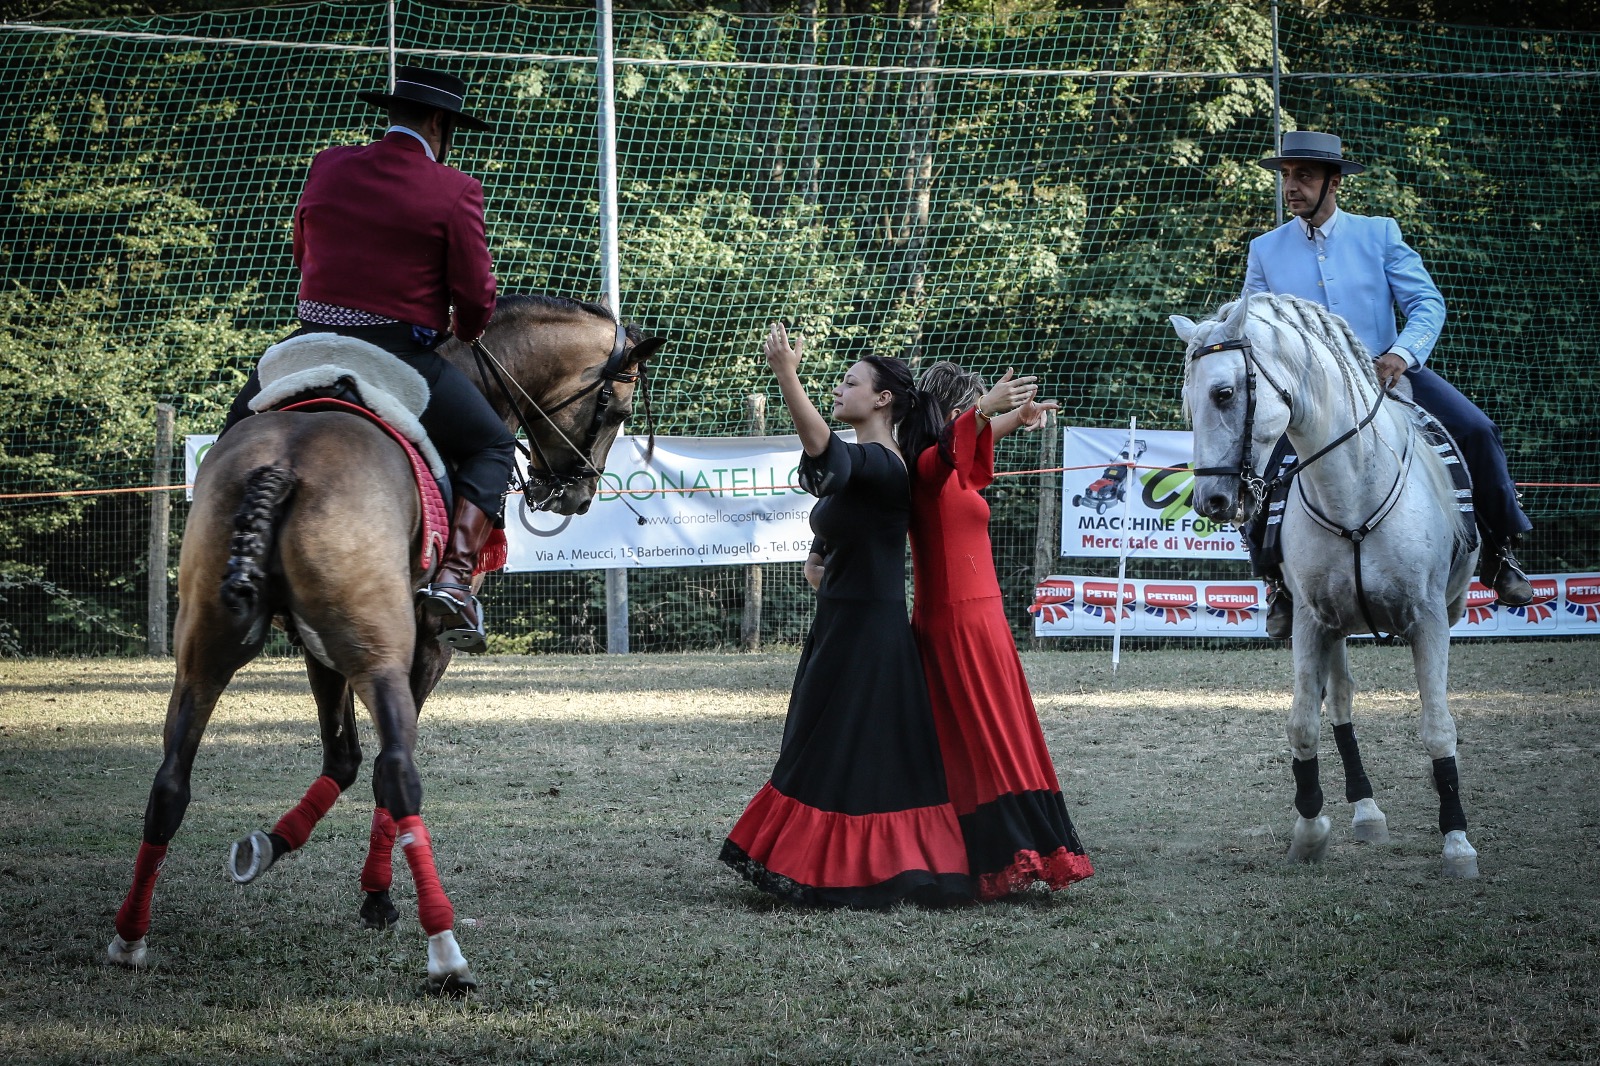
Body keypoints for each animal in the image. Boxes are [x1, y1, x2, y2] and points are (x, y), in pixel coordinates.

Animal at [107, 294, 666, 992]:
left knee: (169, 784)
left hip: (205, 655)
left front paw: (267, 846)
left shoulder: (318, 647)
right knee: (398, 772)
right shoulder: (425, 649)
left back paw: (130, 937)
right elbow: (372, 770)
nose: (579, 493)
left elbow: (342, 760)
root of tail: (285, 461)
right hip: (377, 657)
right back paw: (445, 953)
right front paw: (375, 896)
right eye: (615, 411)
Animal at [1172, 292, 1481, 879]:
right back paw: (1366, 812)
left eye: (1224, 393)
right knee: (1339, 703)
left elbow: (1437, 726)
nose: (1211, 502)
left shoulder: (1429, 620)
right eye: (1187, 406)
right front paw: (1310, 831)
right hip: (1334, 625)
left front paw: (1457, 842)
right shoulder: (1312, 620)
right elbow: (1304, 726)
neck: (1352, 489)